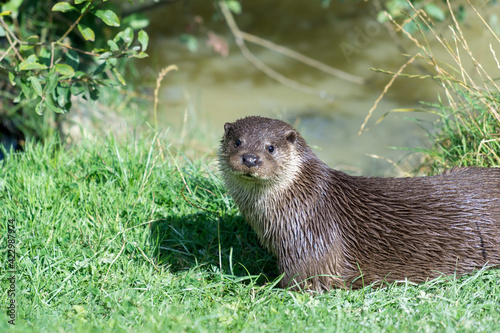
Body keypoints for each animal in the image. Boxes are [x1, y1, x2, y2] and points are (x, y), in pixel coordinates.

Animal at [219, 115, 500, 290]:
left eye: (270, 148)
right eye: (237, 141)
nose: (250, 158)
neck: (304, 202)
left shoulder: (313, 243)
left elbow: (302, 282)